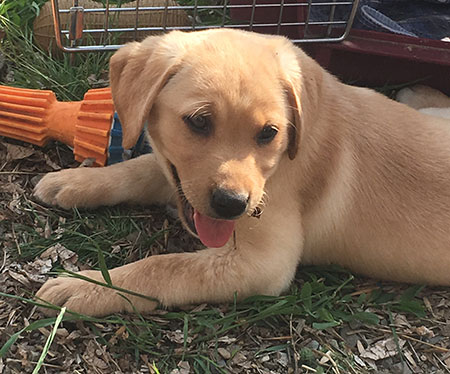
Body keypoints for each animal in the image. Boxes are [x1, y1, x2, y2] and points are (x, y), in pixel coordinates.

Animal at [35, 29, 450, 316]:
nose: (233, 205)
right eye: (199, 122)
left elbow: (163, 267)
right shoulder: (180, 176)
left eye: (269, 133)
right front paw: (74, 181)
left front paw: (88, 285)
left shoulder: (264, 264)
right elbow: (139, 168)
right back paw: (420, 92)